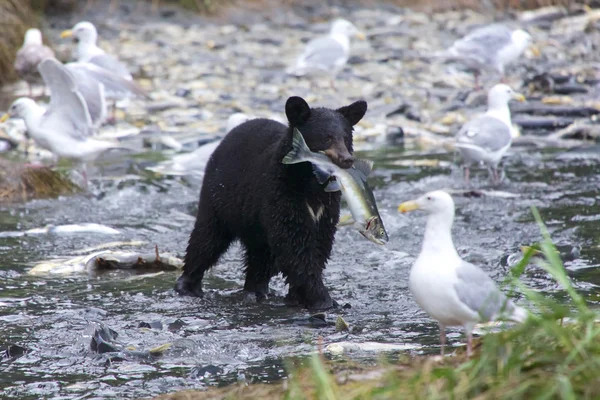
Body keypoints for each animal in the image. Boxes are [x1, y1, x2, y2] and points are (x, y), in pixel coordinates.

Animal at [176, 96, 368, 310]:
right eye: (327, 137)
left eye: (346, 137)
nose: (347, 159)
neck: (311, 183)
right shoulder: (281, 194)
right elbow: (294, 244)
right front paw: (322, 299)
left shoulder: (327, 207)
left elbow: (320, 244)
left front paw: (298, 297)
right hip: (219, 198)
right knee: (207, 239)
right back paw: (188, 285)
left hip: (253, 223)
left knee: (260, 256)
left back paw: (256, 290)